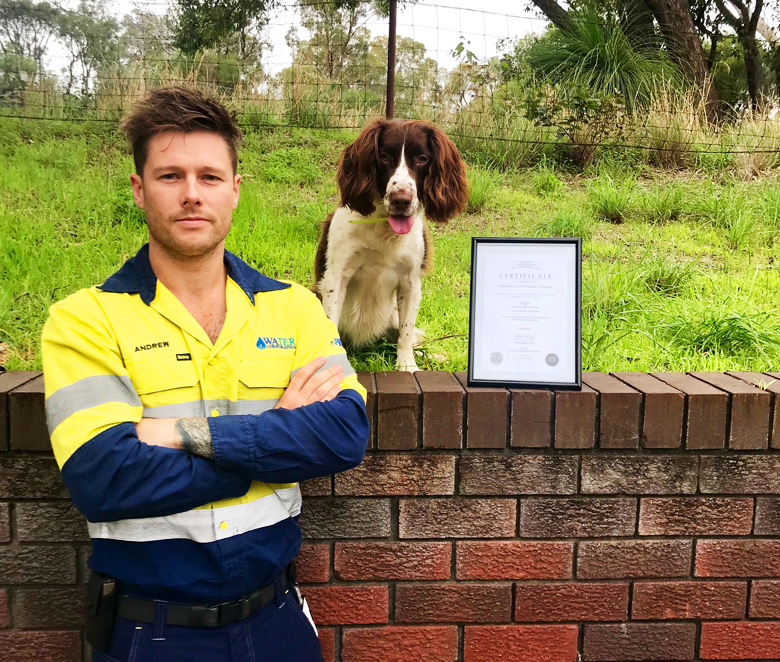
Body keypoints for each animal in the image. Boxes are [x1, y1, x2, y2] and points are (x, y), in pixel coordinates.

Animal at [312, 119, 470, 374]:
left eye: (422, 159)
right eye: (384, 156)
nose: (401, 200)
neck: (384, 228)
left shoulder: (410, 282)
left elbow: (406, 333)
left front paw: (407, 366)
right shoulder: (335, 278)